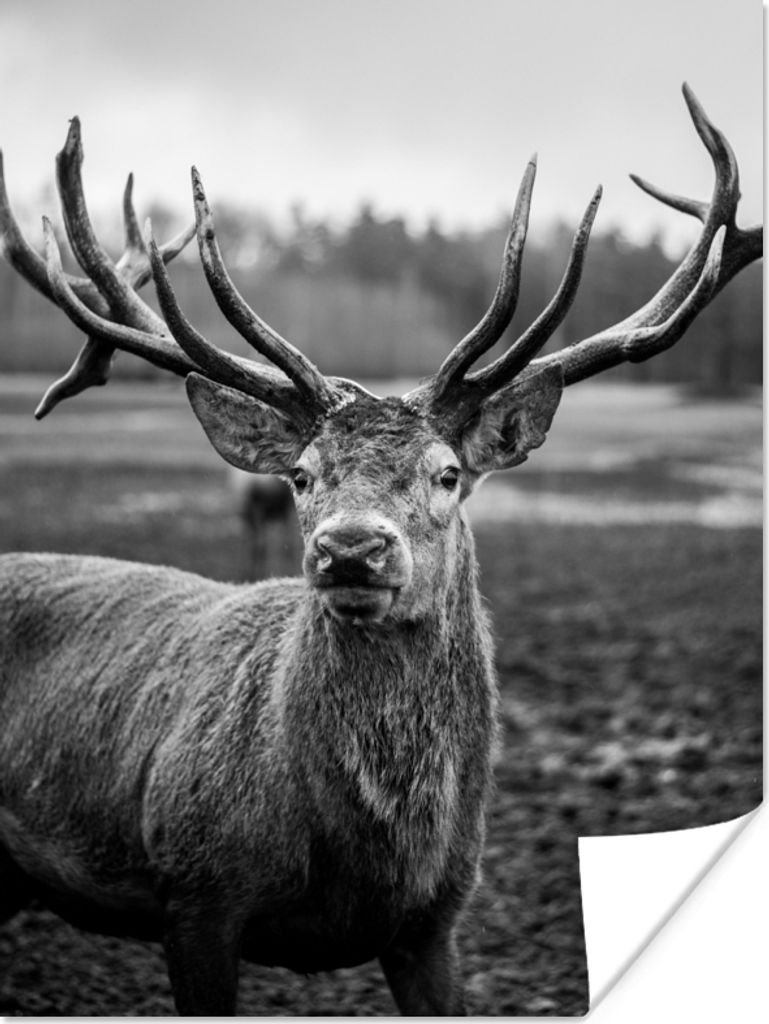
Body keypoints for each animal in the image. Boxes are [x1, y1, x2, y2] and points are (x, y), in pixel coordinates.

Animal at [0, 85, 761, 1016]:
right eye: (300, 474)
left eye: (446, 474)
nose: (351, 548)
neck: (371, 859)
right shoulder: (196, 889)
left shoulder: (436, 920)